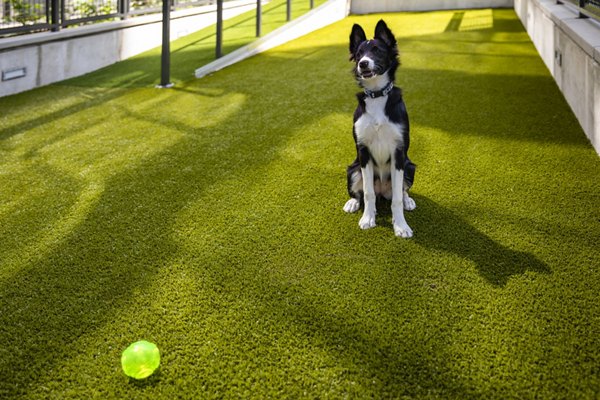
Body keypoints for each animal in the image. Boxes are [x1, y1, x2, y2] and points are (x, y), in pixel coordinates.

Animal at [344, 19, 414, 238]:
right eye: (359, 54)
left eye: (377, 50)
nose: (363, 63)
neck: (377, 95)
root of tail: (383, 190)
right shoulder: (363, 151)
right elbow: (368, 193)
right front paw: (368, 218)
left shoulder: (399, 152)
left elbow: (397, 198)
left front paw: (401, 226)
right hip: (353, 169)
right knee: (363, 192)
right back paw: (353, 203)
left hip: (409, 166)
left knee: (401, 191)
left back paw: (408, 200)